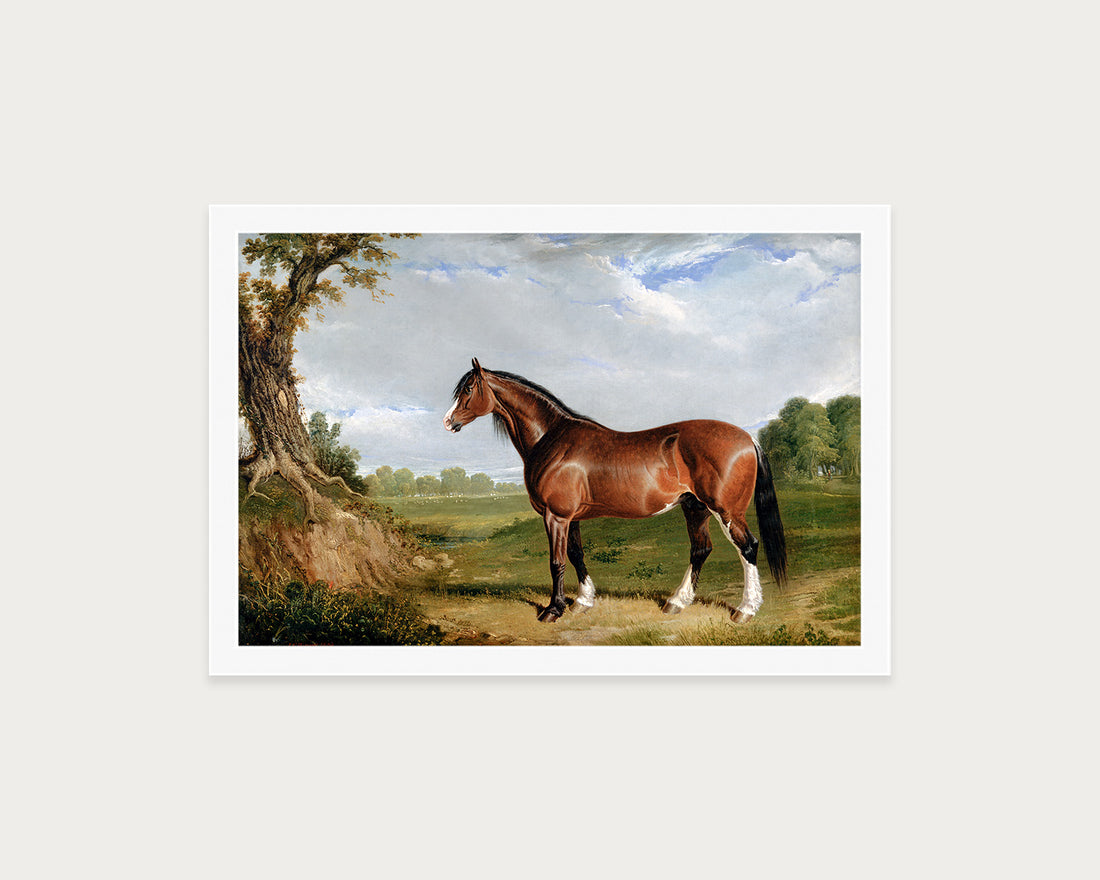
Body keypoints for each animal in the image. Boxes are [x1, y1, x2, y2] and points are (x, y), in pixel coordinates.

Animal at [443, 359, 788, 623]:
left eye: (469, 389)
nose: (448, 422)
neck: (552, 439)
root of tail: (748, 438)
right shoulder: (570, 518)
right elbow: (576, 555)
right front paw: (582, 602)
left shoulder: (556, 516)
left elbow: (556, 562)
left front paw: (553, 610)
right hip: (695, 508)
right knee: (701, 549)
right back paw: (676, 602)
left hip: (726, 510)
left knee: (748, 548)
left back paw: (745, 610)